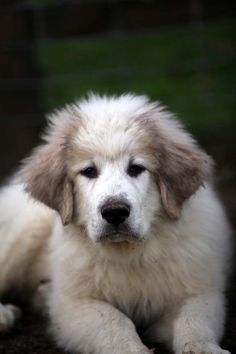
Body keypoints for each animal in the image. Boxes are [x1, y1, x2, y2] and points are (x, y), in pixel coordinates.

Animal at [0, 94, 231, 354]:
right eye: (89, 171)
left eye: (136, 168)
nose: (115, 212)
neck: (130, 252)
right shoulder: (74, 305)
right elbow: (112, 322)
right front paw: (133, 349)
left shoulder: (200, 291)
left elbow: (194, 320)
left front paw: (204, 348)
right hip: (22, 232)